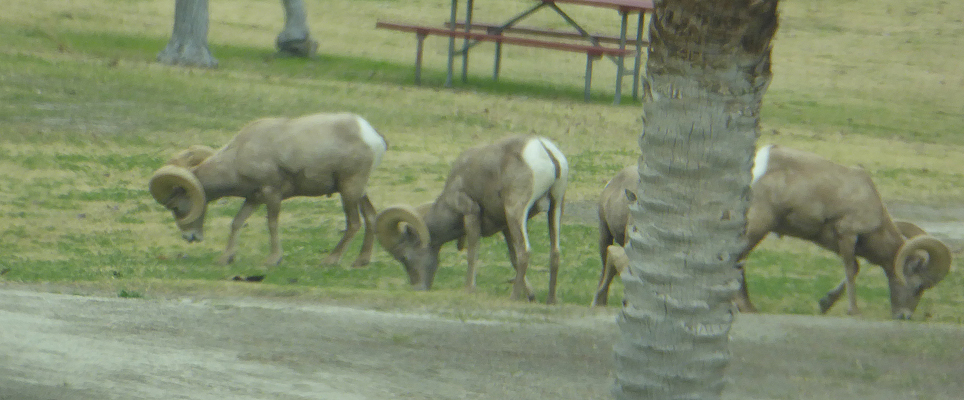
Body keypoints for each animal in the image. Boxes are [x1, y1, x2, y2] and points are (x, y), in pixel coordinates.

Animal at [149, 112, 386, 268]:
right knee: (370, 217)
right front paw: (226, 258)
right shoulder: (253, 198)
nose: (190, 237)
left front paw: (273, 260)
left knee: (354, 223)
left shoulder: (272, 193)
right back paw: (361, 261)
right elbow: (236, 223)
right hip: (358, 191)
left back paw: (330, 260)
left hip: (349, 189)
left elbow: (272, 224)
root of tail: (373, 137)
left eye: (174, 206)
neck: (238, 156)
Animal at [372, 135, 568, 304]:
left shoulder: (470, 212)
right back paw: (551, 300)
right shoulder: (504, 227)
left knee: (524, 252)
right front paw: (531, 296)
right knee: (554, 253)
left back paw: (513, 297)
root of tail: (544, 148)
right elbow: (512, 258)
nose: (418, 288)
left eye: (404, 257)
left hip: (516, 211)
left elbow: (473, 252)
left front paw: (469, 289)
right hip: (556, 206)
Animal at [592, 145, 952, 320]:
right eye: (918, 285)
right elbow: (852, 271)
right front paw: (853, 311)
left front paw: (825, 303)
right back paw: (744, 308)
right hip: (759, 227)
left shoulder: (840, 241)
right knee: (736, 261)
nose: (904, 317)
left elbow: (855, 269)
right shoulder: (848, 234)